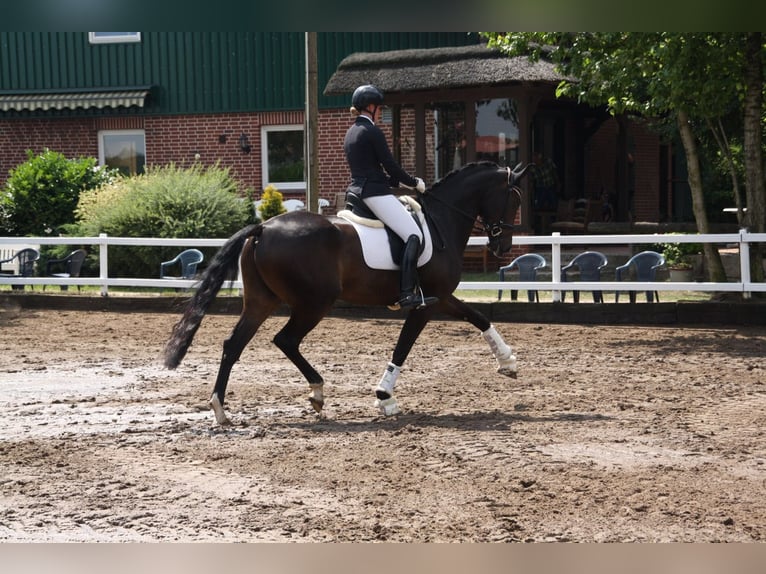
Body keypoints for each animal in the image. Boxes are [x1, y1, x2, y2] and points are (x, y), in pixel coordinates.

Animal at [164, 161, 526, 425]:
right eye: (514, 200)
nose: (502, 246)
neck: (441, 222)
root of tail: (263, 227)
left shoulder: (440, 297)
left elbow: (477, 317)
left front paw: (508, 362)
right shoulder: (423, 304)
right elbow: (403, 347)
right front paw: (385, 398)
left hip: (261, 301)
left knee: (234, 344)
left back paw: (221, 410)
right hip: (314, 303)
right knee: (285, 340)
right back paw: (317, 392)